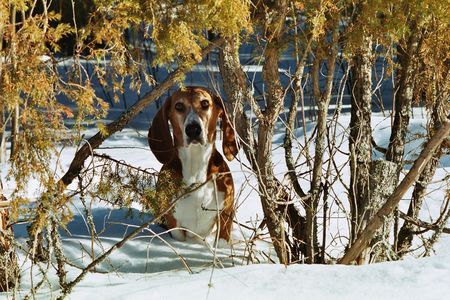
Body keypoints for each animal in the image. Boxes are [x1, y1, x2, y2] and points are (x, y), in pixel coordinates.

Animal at [148, 86, 239, 241]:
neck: (196, 165)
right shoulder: (173, 221)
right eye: (179, 106)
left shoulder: (226, 213)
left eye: (205, 103)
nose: (193, 129)